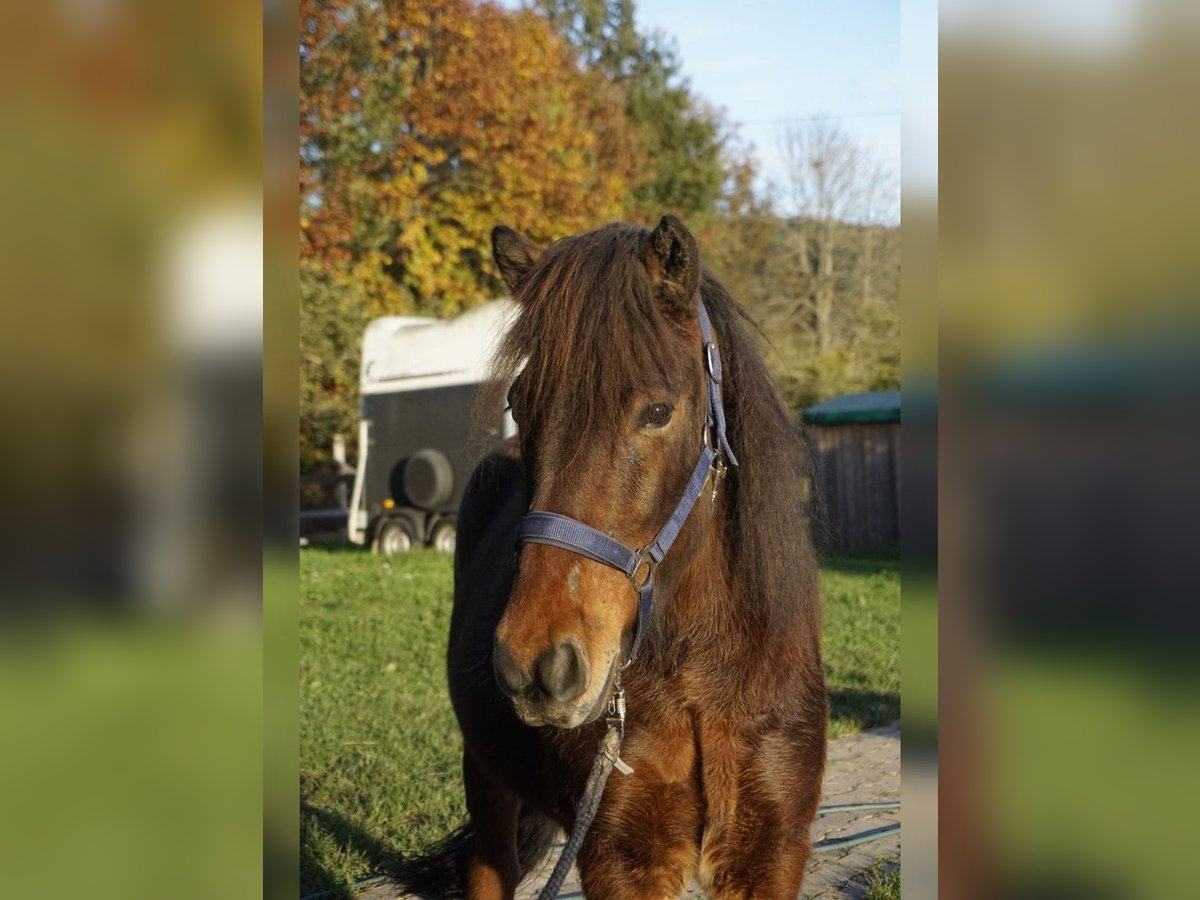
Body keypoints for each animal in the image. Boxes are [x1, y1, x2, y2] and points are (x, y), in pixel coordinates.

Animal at [400, 217, 825, 900]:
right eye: (519, 403)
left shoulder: (772, 856)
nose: (537, 665)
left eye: (657, 412)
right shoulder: (621, 861)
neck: (702, 678)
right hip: (483, 774)